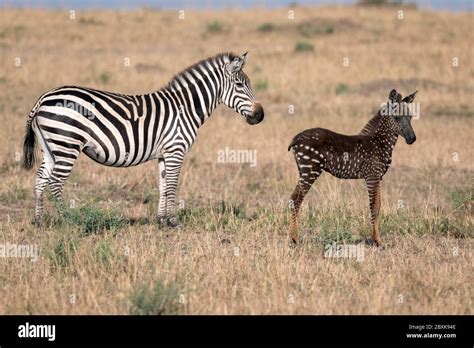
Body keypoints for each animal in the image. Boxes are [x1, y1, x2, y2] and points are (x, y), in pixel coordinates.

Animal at [286, 89, 416, 246]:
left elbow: (378, 205)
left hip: (303, 171)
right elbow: (374, 206)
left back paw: (293, 237)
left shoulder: (378, 177)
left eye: (410, 117)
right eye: (396, 117)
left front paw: (377, 239)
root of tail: (296, 138)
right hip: (310, 169)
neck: (380, 142)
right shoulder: (372, 175)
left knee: (294, 198)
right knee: (296, 199)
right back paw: (295, 238)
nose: (412, 139)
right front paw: (377, 241)